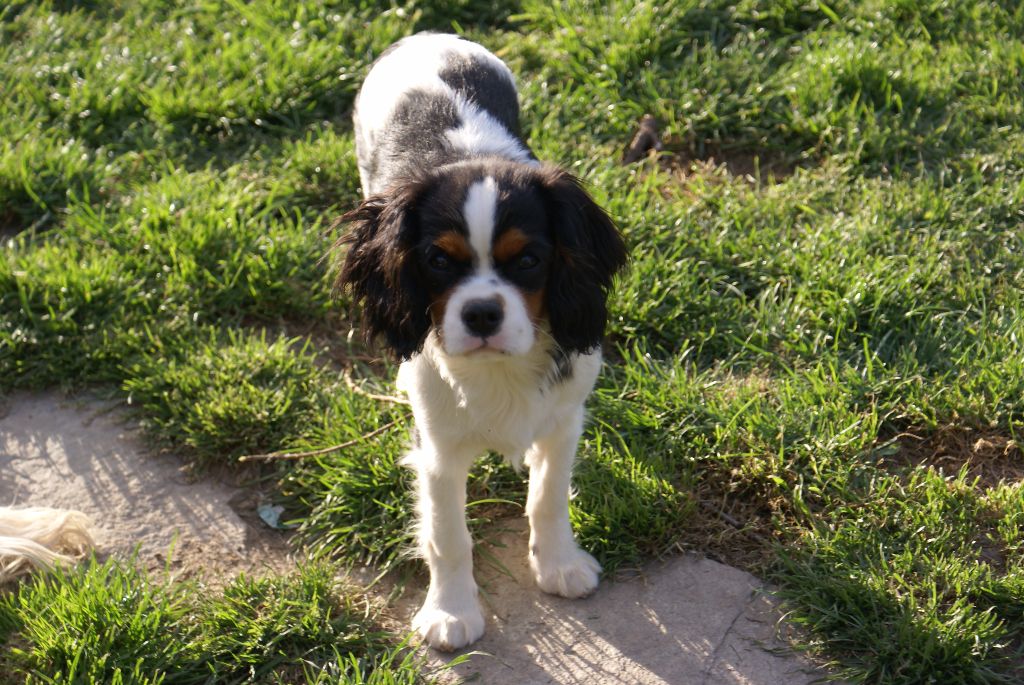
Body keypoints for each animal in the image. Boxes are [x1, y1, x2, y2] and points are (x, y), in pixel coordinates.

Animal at [336, 33, 627, 651]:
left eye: (530, 260)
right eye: (438, 261)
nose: (481, 313)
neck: (501, 368)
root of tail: (426, 36)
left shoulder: (564, 419)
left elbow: (548, 497)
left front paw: (560, 565)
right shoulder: (437, 450)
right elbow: (448, 533)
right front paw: (450, 612)